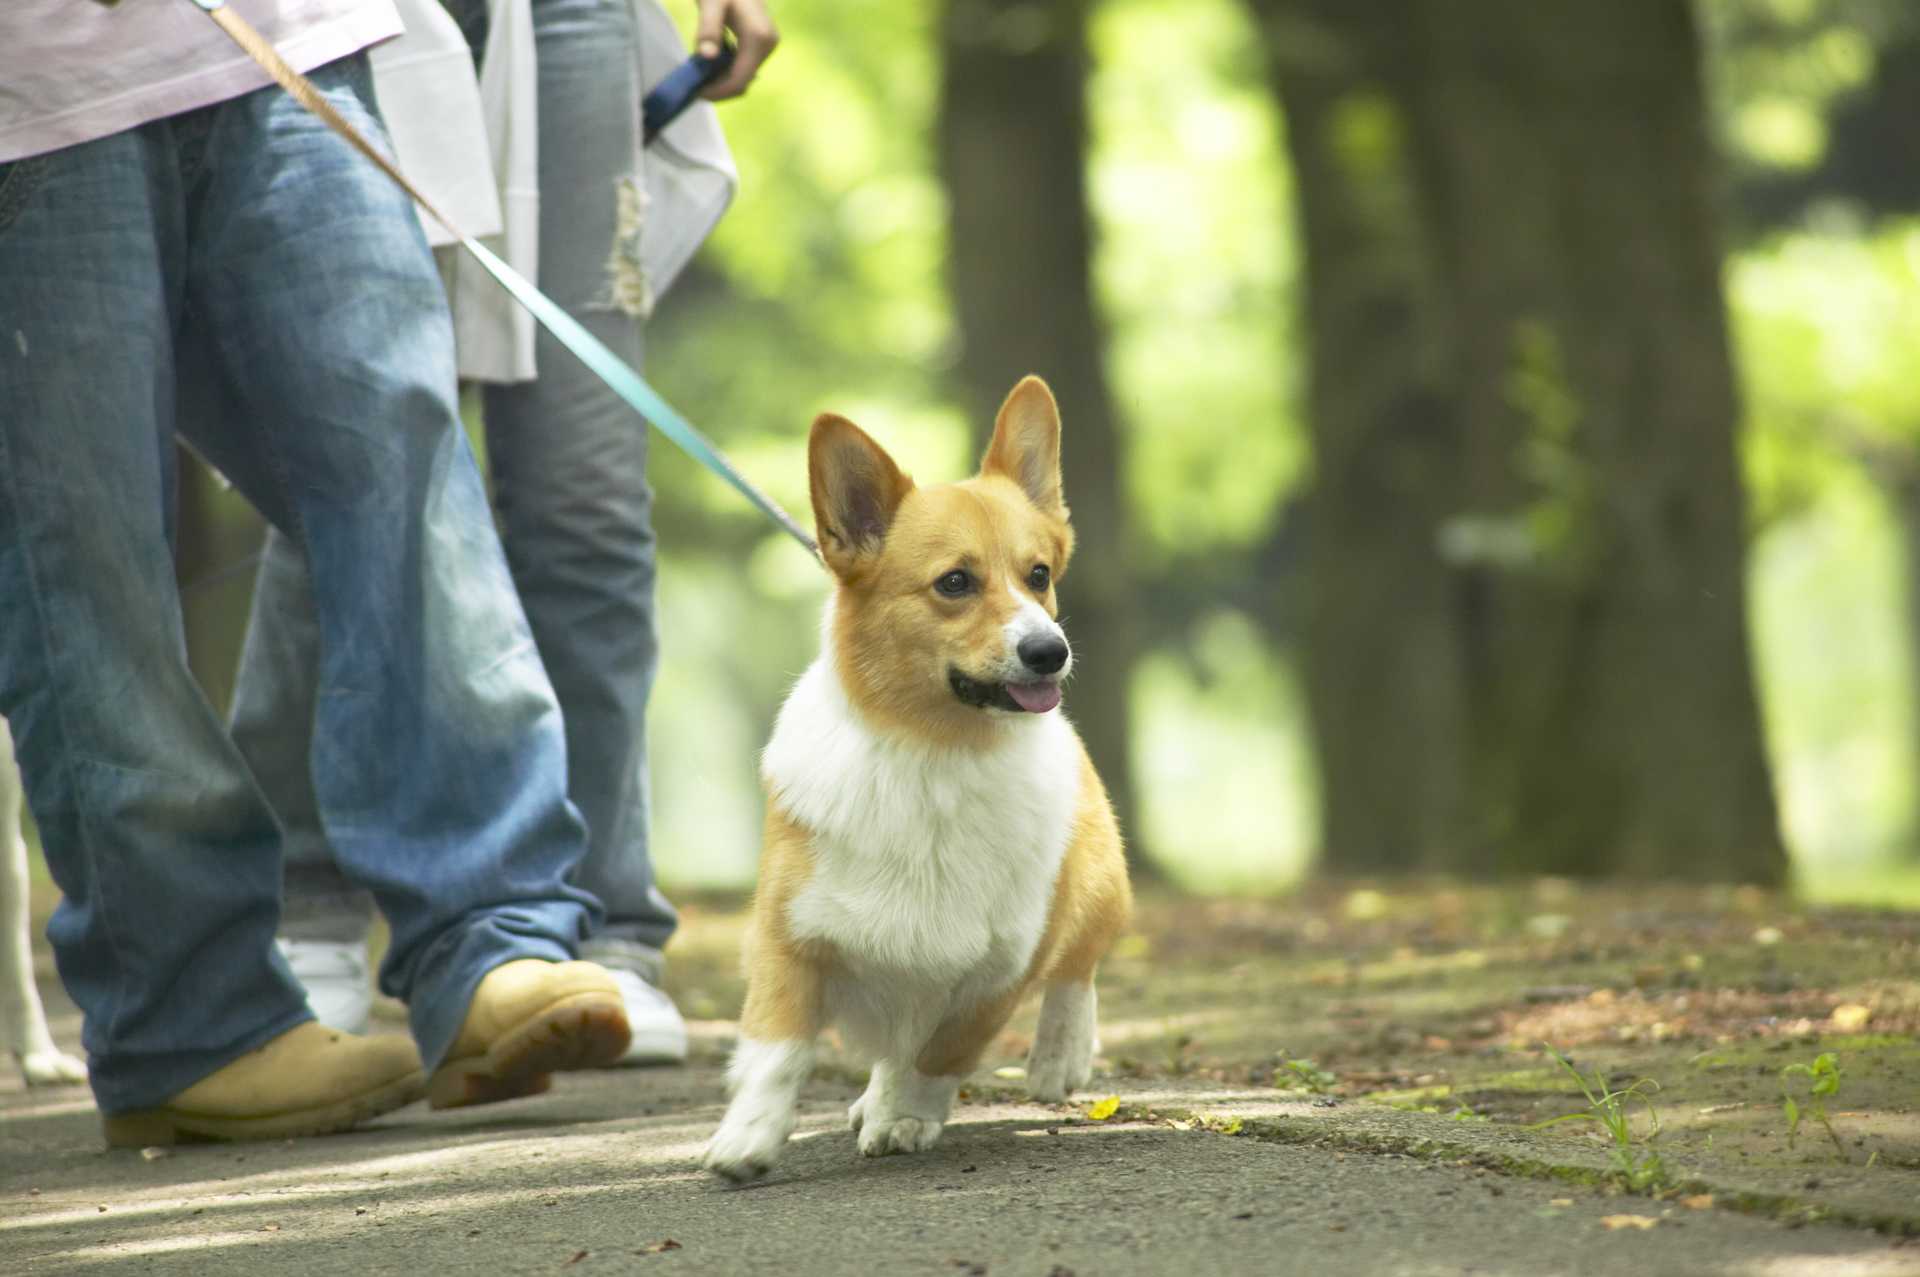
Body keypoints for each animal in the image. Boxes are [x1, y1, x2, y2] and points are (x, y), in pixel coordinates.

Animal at [702, 374, 1121, 1182]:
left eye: (1039, 575)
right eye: (954, 582)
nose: (1051, 651)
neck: (934, 750)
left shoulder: (997, 972)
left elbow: (937, 1052)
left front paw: (907, 1118)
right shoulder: (789, 939)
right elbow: (777, 1050)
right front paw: (746, 1141)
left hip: (1099, 889)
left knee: (1076, 971)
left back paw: (1056, 1056)